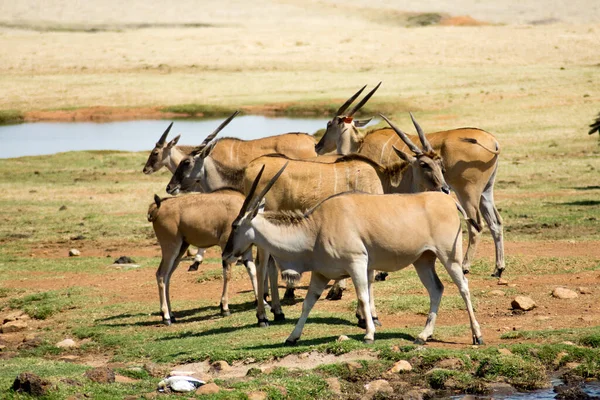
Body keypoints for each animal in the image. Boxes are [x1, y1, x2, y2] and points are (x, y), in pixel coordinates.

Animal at [147, 189, 258, 324]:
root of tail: (157, 207)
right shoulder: (226, 246)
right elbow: (227, 274)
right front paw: (224, 308)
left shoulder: (246, 249)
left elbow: (252, 271)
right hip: (171, 248)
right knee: (161, 274)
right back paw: (166, 316)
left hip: (180, 249)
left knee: (167, 276)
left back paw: (172, 315)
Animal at [223, 164, 486, 346]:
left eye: (235, 226)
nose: (226, 254)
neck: (316, 226)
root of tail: (448, 202)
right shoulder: (321, 274)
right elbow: (308, 303)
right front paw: (292, 336)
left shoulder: (357, 263)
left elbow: (363, 297)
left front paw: (369, 333)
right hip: (423, 260)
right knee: (436, 289)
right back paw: (423, 335)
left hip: (449, 257)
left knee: (463, 287)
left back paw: (477, 335)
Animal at [241, 116, 448, 328]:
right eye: (424, 164)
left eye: (440, 163)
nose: (445, 189)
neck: (383, 180)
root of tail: (251, 167)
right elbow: (368, 277)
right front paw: (368, 317)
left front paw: (363, 315)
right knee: (261, 264)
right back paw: (262, 317)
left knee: (270, 265)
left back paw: (278, 311)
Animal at [314, 84, 506, 278]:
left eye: (329, 124)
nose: (317, 146)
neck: (360, 143)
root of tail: (494, 141)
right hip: (486, 191)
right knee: (495, 222)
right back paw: (498, 268)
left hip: (467, 192)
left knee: (476, 225)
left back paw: (466, 266)